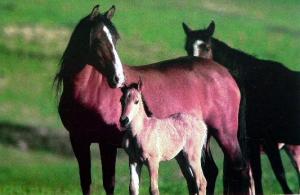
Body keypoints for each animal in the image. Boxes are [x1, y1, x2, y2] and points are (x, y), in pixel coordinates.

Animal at [55, 4, 250, 195]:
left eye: (115, 40)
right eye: (97, 40)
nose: (118, 78)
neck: (91, 91)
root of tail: (226, 73)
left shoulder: (106, 143)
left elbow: (109, 183)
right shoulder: (78, 141)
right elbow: (86, 183)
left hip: (226, 135)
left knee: (240, 170)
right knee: (209, 172)